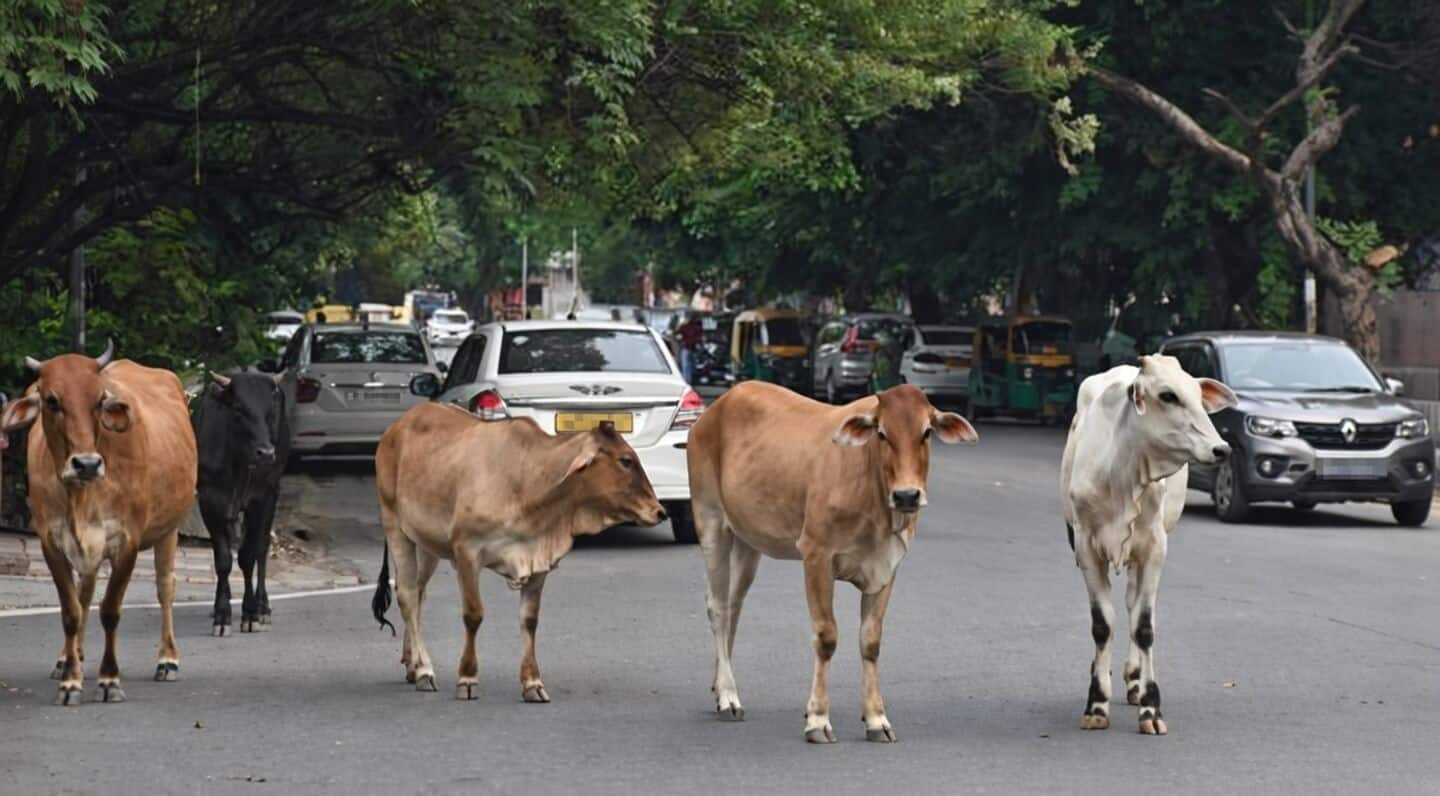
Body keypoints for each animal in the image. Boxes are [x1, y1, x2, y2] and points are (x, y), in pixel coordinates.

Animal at [0, 340, 197, 705]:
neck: (80, 494)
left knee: (165, 587)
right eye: (52, 400)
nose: (87, 464)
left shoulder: (127, 541)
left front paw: (109, 680)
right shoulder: (52, 542)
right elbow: (72, 611)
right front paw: (70, 680)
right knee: (86, 593)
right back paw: (70, 657)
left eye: (99, 400)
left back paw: (167, 660)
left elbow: (111, 611)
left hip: (170, 529)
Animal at [195, 369, 288, 636]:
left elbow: (248, 556)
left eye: (270, 410)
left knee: (262, 549)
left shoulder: (261, 498)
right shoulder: (210, 500)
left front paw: (250, 613)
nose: (266, 453)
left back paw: (263, 607)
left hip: (273, 492)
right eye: (238, 408)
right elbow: (223, 560)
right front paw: (222, 614)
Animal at [371, 403, 667, 701]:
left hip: (426, 545)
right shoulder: (467, 552)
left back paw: (412, 664)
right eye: (626, 460)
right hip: (395, 527)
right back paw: (424, 670)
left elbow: (529, 620)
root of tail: (397, 426)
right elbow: (473, 615)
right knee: (407, 597)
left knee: (418, 595)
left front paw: (533, 684)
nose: (660, 511)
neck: (527, 483)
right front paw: (467, 678)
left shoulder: (538, 562)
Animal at [686, 381, 978, 743]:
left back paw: (719, 687)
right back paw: (728, 696)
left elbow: (870, 641)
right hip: (711, 522)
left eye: (926, 432)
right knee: (717, 607)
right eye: (881, 433)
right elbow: (826, 637)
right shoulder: (817, 557)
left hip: (747, 542)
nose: (907, 495)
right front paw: (818, 719)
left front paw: (876, 719)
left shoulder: (888, 567)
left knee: (733, 608)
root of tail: (717, 407)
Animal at [1060, 355, 1236, 735]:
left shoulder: (1155, 549)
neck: (1122, 472)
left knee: (1132, 606)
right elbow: (1102, 625)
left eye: (1198, 396)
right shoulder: (1086, 549)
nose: (1222, 449)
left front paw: (1151, 706)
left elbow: (1143, 627)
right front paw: (1097, 702)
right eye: (1168, 395)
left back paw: (1134, 680)